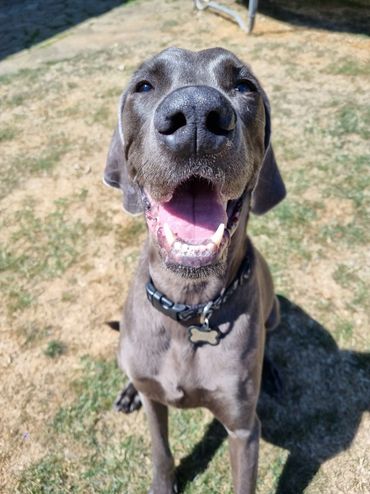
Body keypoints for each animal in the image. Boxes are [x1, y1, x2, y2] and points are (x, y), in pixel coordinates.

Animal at [103, 47, 286, 494]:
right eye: (144, 85)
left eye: (244, 86)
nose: (199, 115)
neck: (189, 306)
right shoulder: (156, 401)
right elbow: (161, 451)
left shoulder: (243, 428)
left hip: (275, 311)